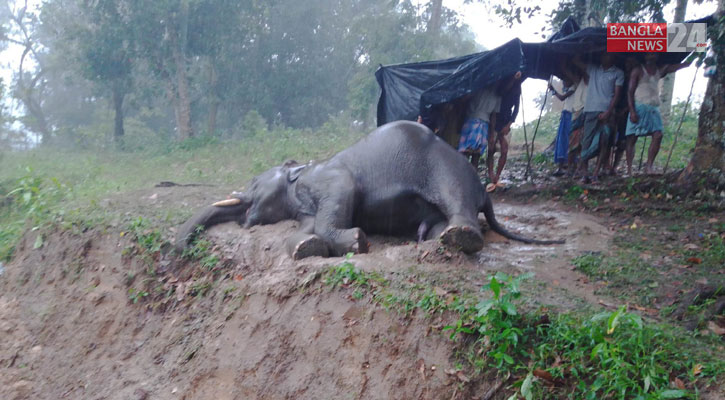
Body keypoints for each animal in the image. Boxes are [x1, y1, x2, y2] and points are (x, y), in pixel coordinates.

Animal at [174, 120, 560, 260]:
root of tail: (487, 193)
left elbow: (340, 199)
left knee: (456, 200)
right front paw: (306, 247)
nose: (175, 249)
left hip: (449, 172)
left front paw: (357, 241)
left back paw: (459, 238)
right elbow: (306, 228)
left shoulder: (332, 178)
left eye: (253, 183)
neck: (302, 174)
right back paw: (432, 238)